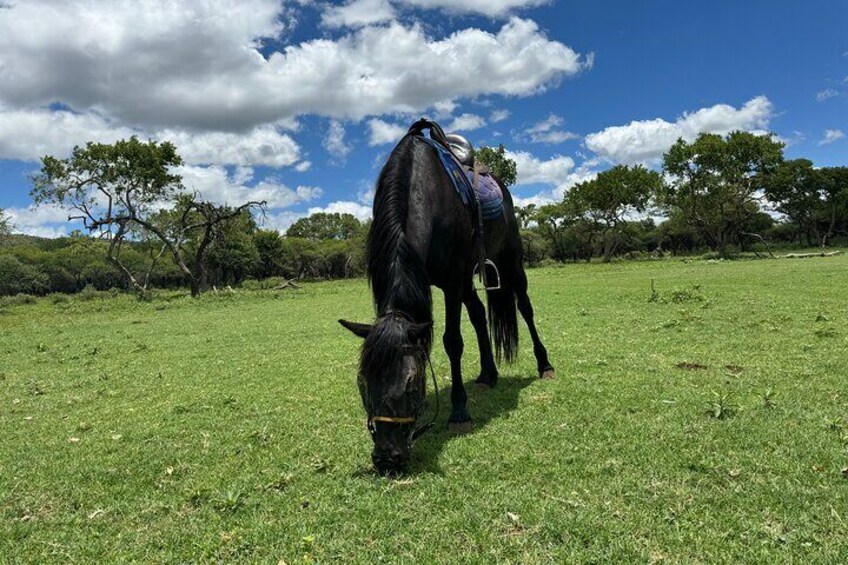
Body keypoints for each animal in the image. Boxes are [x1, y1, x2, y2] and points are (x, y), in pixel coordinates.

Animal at [340, 120, 556, 476]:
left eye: (412, 383)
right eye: (362, 382)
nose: (387, 458)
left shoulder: (453, 281)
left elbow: (452, 341)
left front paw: (458, 412)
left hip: (510, 260)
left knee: (524, 308)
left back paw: (545, 365)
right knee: (480, 314)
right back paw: (487, 375)